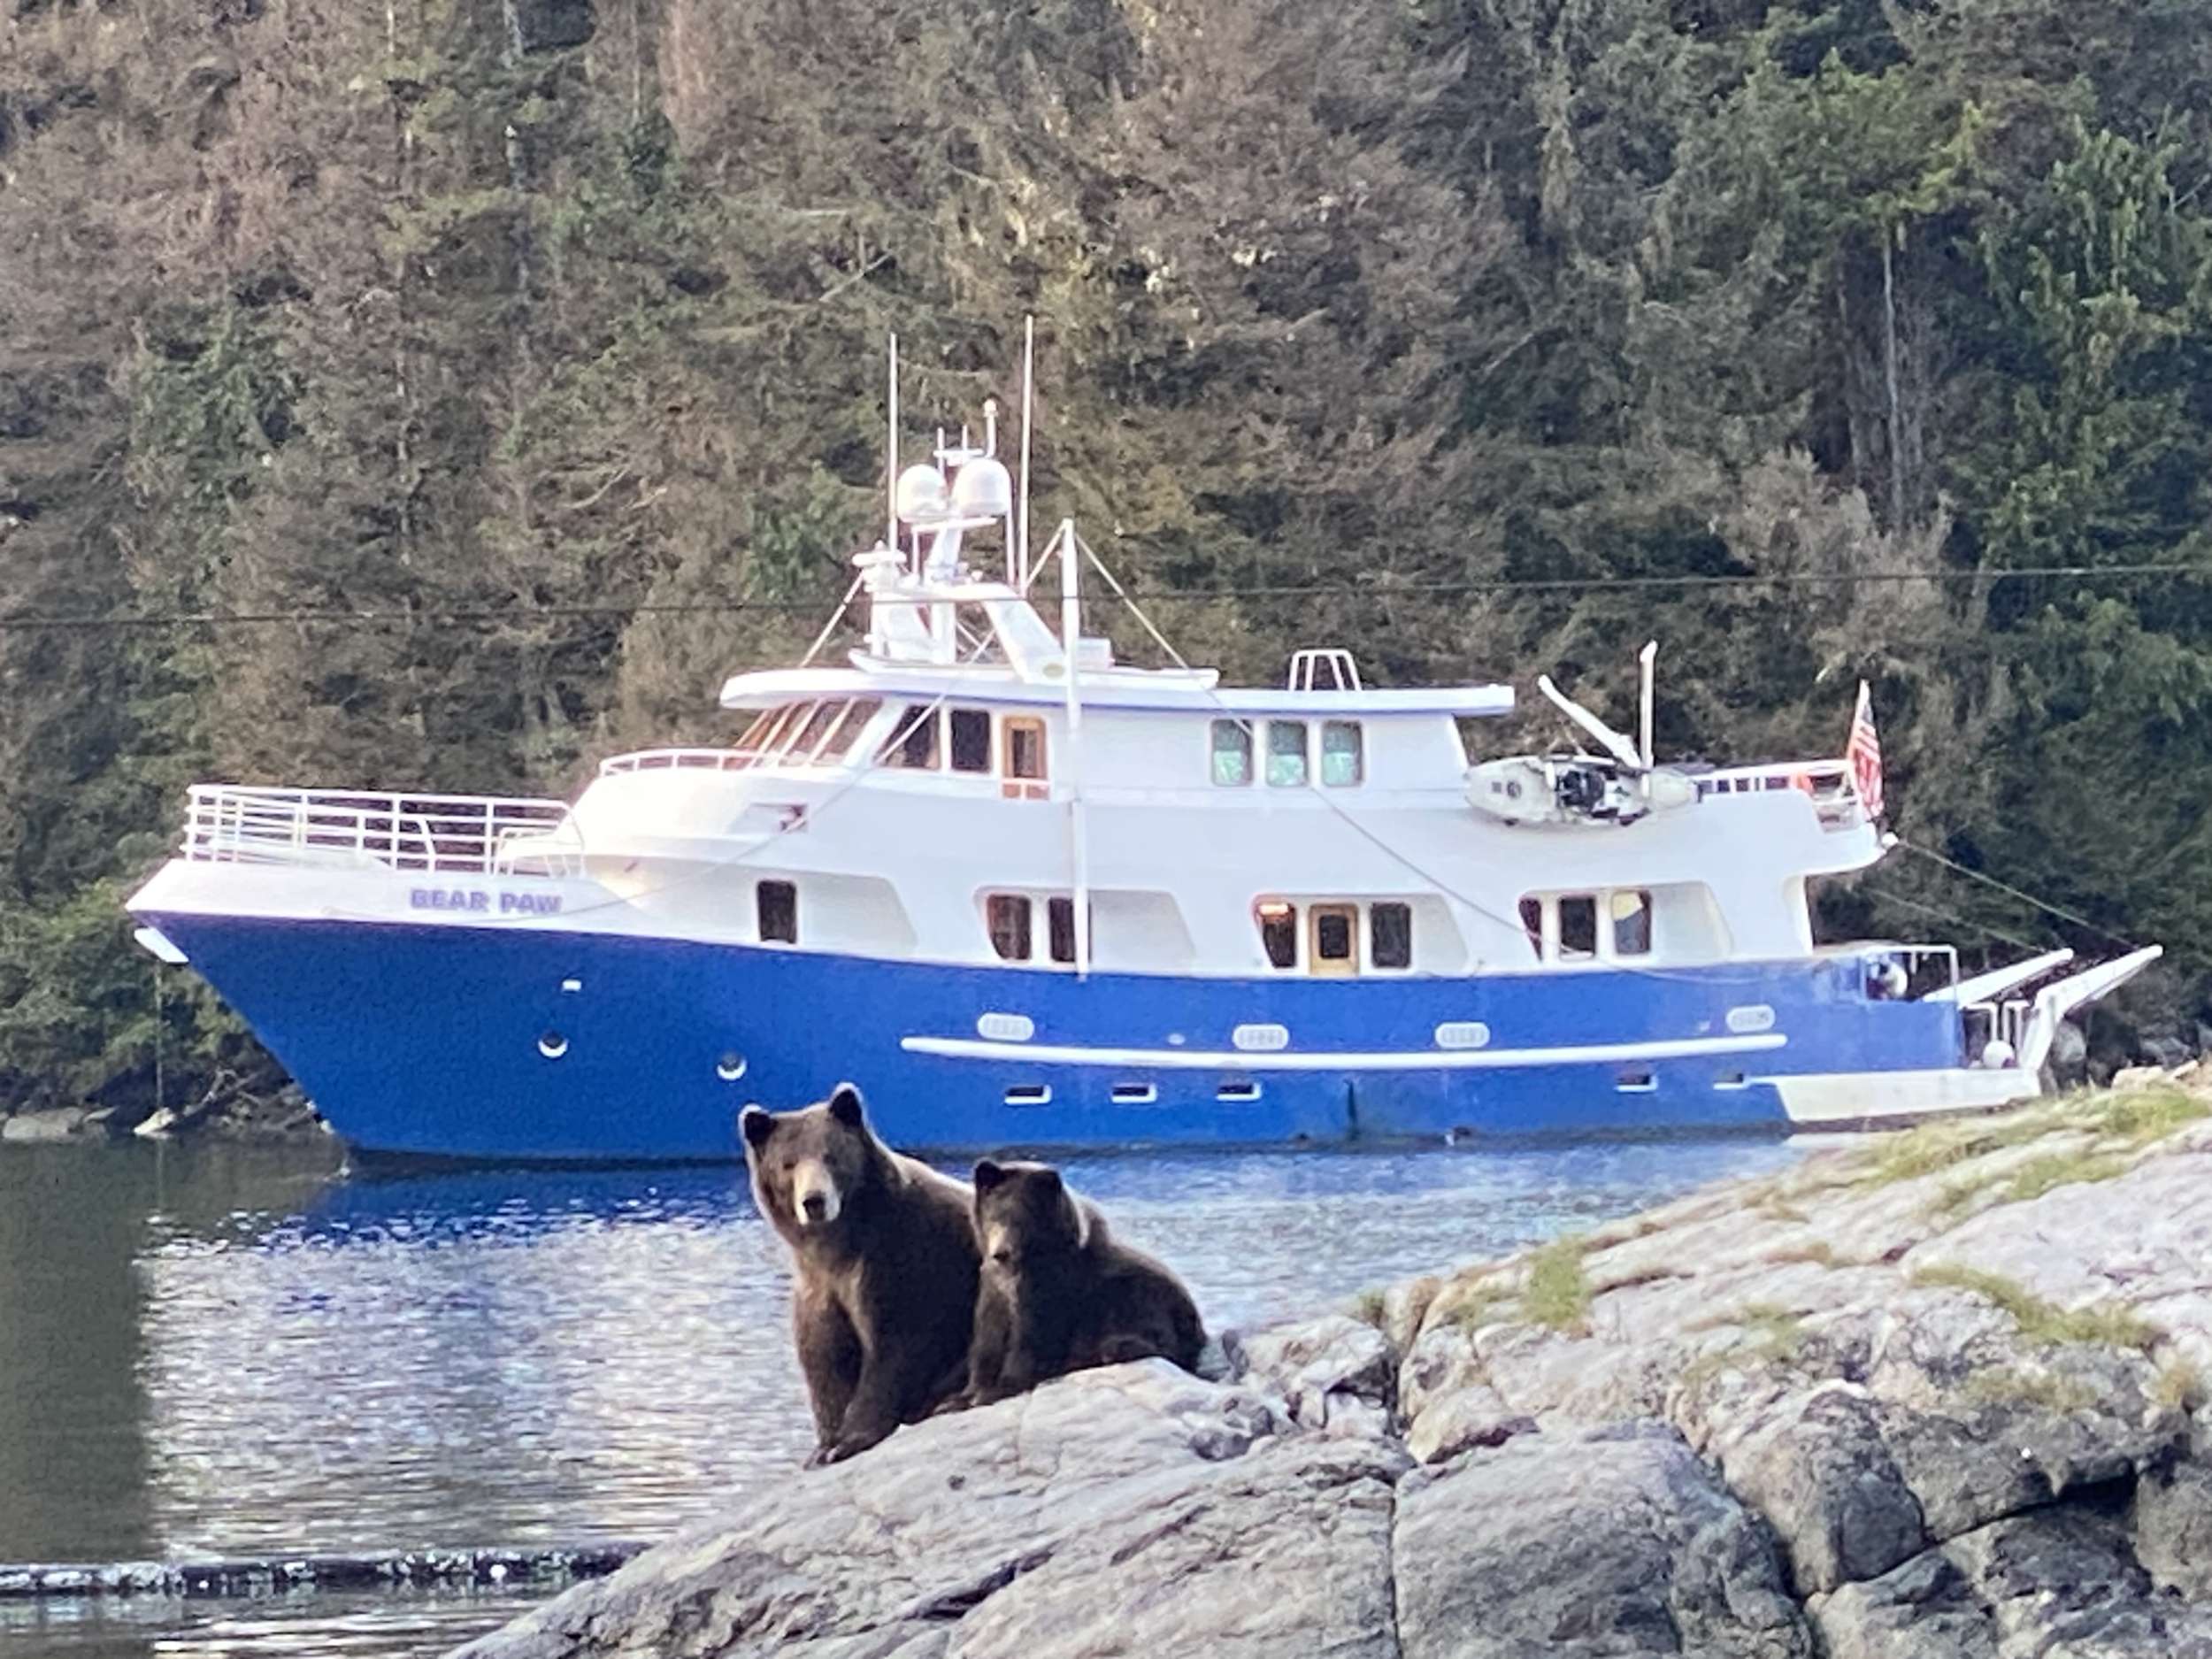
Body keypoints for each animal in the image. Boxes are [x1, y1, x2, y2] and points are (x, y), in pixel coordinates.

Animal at [739, 1082, 978, 1464]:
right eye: (788, 1163)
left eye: (830, 1156)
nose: (814, 1200)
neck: (838, 1246)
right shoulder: (820, 1287)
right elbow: (826, 1361)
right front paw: (823, 1446)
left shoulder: (901, 1262)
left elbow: (894, 1347)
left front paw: (847, 1440)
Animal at [950, 1158, 1206, 1410]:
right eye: (995, 1217)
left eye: (1023, 1220)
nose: (1001, 1253)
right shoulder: (993, 1288)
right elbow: (988, 1339)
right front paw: (963, 1395)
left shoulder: (1051, 1287)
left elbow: (1032, 1339)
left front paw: (997, 1389)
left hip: (1142, 1300)